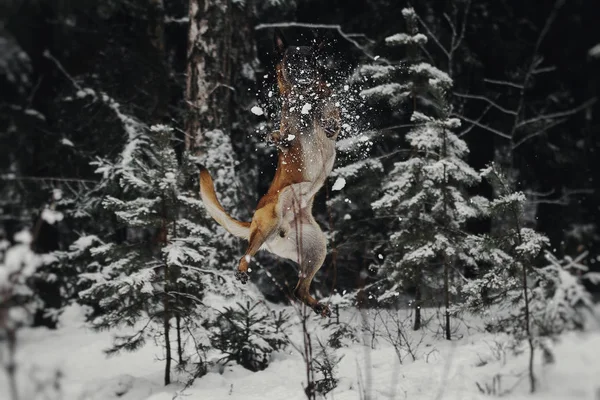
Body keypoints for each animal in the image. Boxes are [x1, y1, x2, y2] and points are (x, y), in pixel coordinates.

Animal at [197, 29, 338, 316]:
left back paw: (318, 306)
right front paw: (275, 136)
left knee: (299, 290)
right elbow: (283, 136)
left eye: (310, 59)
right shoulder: (289, 127)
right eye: (292, 60)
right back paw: (242, 270)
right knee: (246, 254)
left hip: (316, 249)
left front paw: (328, 123)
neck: (306, 100)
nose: (304, 73)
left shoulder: (331, 110)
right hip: (271, 218)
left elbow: (334, 119)